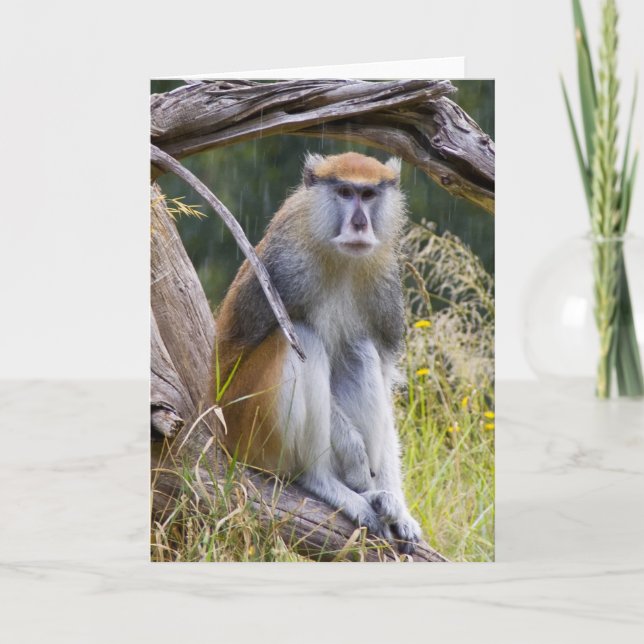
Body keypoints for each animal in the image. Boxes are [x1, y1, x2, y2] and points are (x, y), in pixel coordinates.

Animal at [212, 151, 422, 554]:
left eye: (368, 194)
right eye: (344, 192)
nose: (359, 224)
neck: (340, 257)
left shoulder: (385, 290)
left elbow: (384, 375)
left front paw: (399, 508)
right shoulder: (285, 270)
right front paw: (354, 456)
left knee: (359, 349)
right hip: (245, 427)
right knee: (302, 338)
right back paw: (323, 482)